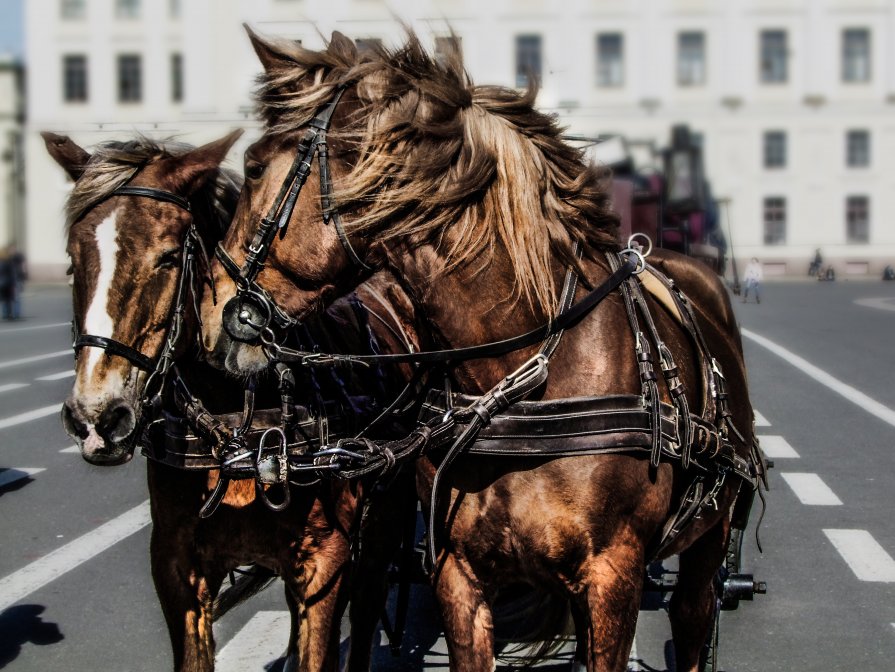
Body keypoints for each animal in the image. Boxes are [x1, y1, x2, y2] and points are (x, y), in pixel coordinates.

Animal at [45, 133, 416, 672]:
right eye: (74, 261)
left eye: (168, 258)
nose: (95, 417)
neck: (242, 426)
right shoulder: (178, 569)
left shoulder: (326, 564)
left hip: (384, 523)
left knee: (366, 614)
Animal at [203, 31, 764, 672]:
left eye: (251, 166)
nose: (209, 309)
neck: (523, 387)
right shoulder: (458, 577)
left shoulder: (612, 579)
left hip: (709, 540)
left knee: (694, 616)